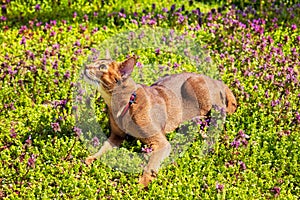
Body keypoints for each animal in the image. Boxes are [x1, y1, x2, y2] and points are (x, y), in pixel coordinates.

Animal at [82, 55, 237, 187]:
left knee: (216, 113)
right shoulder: (116, 136)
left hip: (193, 84)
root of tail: (217, 81)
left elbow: (150, 167)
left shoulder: (161, 143)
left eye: (102, 66)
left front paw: (139, 187)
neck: (121, 104)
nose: (85, 66)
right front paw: (91, 158)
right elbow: (103, 147)